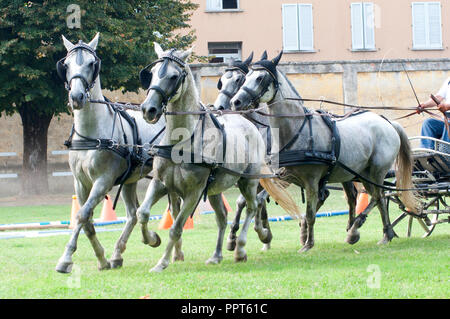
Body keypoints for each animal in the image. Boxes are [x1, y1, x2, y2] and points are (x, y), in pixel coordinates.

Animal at [54, 33, 163, 276]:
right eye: (66, 65)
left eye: (91, 64)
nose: (76, 97)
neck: (92, 133)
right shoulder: (80, 183)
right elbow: (86, 221)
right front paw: (102, 259)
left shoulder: (103, 181)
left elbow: (82, 215)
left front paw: (65, 259)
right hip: (130, 180)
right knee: (132, 214)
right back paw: (117, 254)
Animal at [230, 52, 420, 252]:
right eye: (246, 77)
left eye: (260, 78)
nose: (236, 102)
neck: (296, 130)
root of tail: (388, 122)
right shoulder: (281, 176)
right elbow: (254, 199)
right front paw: (254, 235)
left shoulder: (311, 181)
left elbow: (310, 213)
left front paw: (307, 243)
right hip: (361, 174)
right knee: (377, 198)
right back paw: (385, 233)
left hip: (375, 172)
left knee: (377, 197)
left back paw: (358, 230)